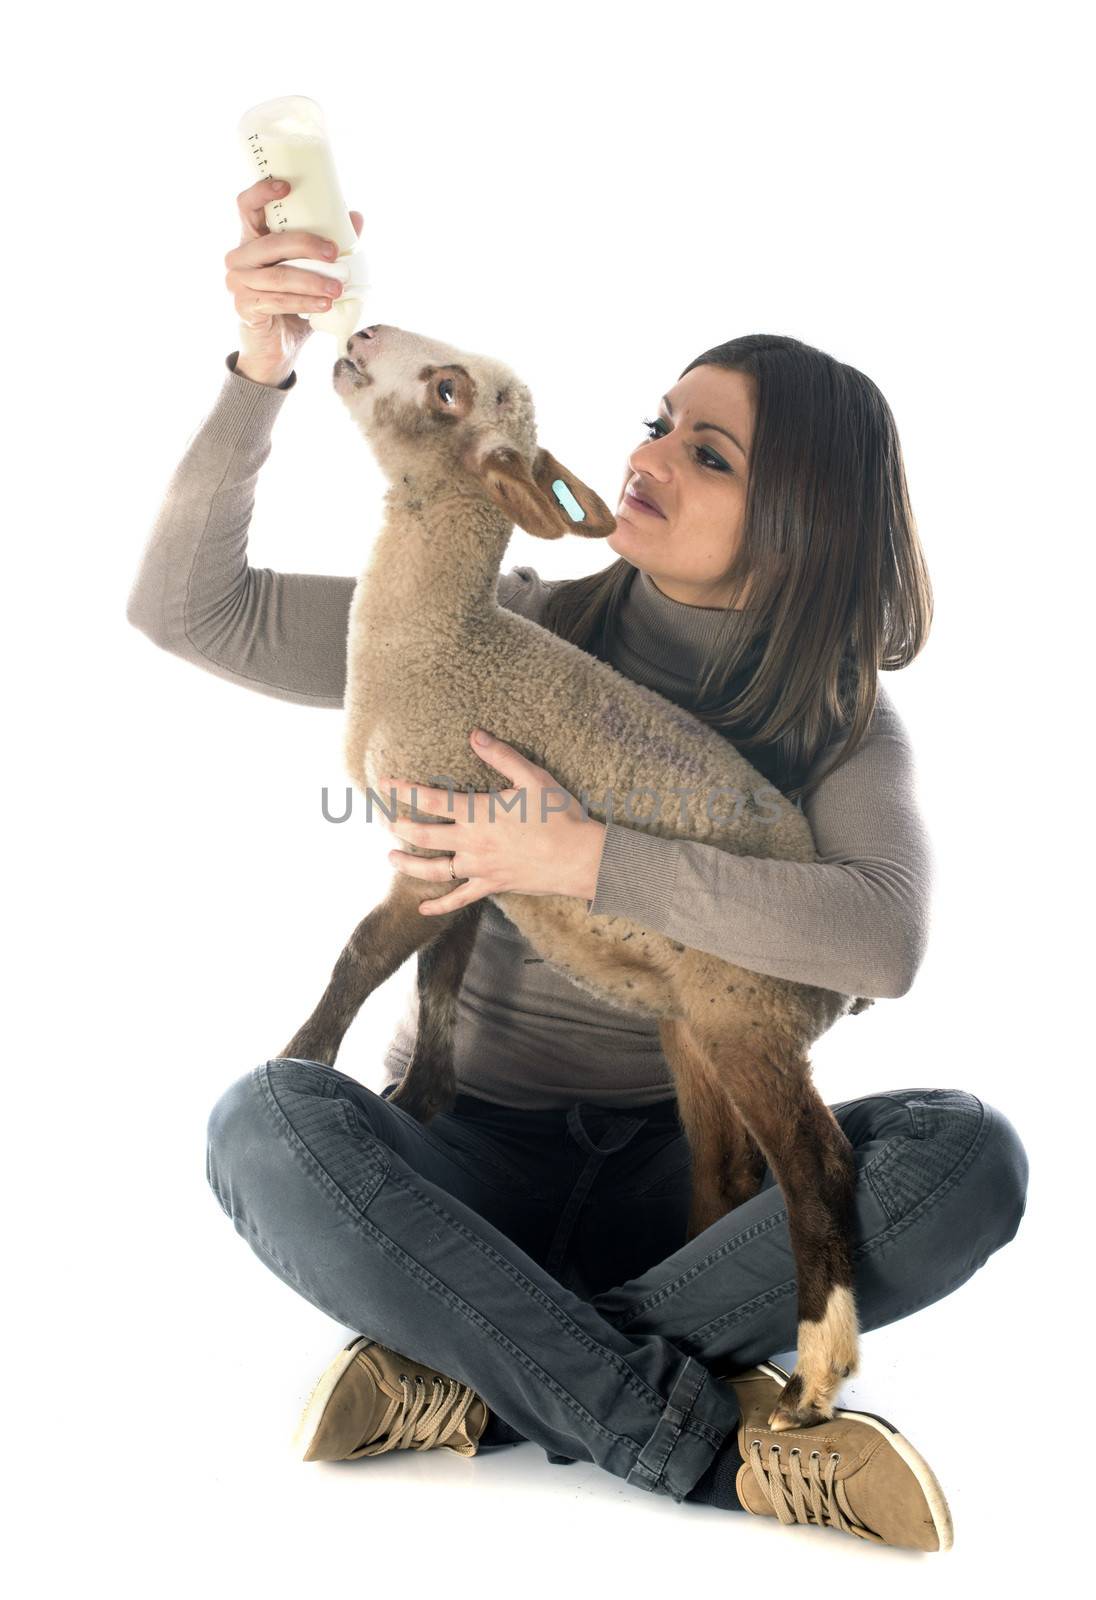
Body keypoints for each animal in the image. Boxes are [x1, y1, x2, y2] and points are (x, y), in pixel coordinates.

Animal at [280, 321, 870, 1427]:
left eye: (449, 391)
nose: (362, 334)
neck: (440, 640)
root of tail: (841, 988)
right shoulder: (469, 867)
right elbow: (438, 982)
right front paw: (418, 1109)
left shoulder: (442, 828)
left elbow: (362, 956)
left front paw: (299, 1059)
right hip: (694, 1024)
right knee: (728, 1169)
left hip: (747, 1007)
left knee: (818, 1162)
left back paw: (815, 1377)